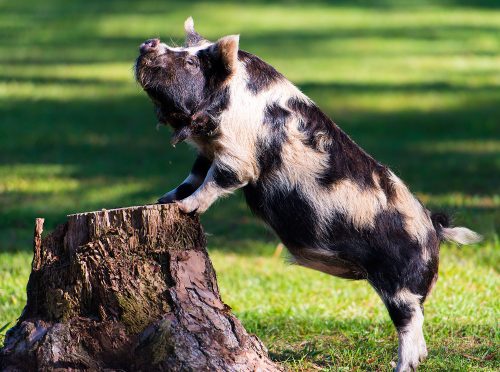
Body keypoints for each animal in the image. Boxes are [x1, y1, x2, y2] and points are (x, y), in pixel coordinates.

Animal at [135, 18, 482, 372]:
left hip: (401, 285)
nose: (149, 43)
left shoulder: (239, 155)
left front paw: (185, 208)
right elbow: (192, 176)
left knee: (411, 325)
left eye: (192, 63)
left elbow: (215, 182)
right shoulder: (207, 153)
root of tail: (433, 229)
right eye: (181, 50)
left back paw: (401, 367)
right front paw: (163, 201)